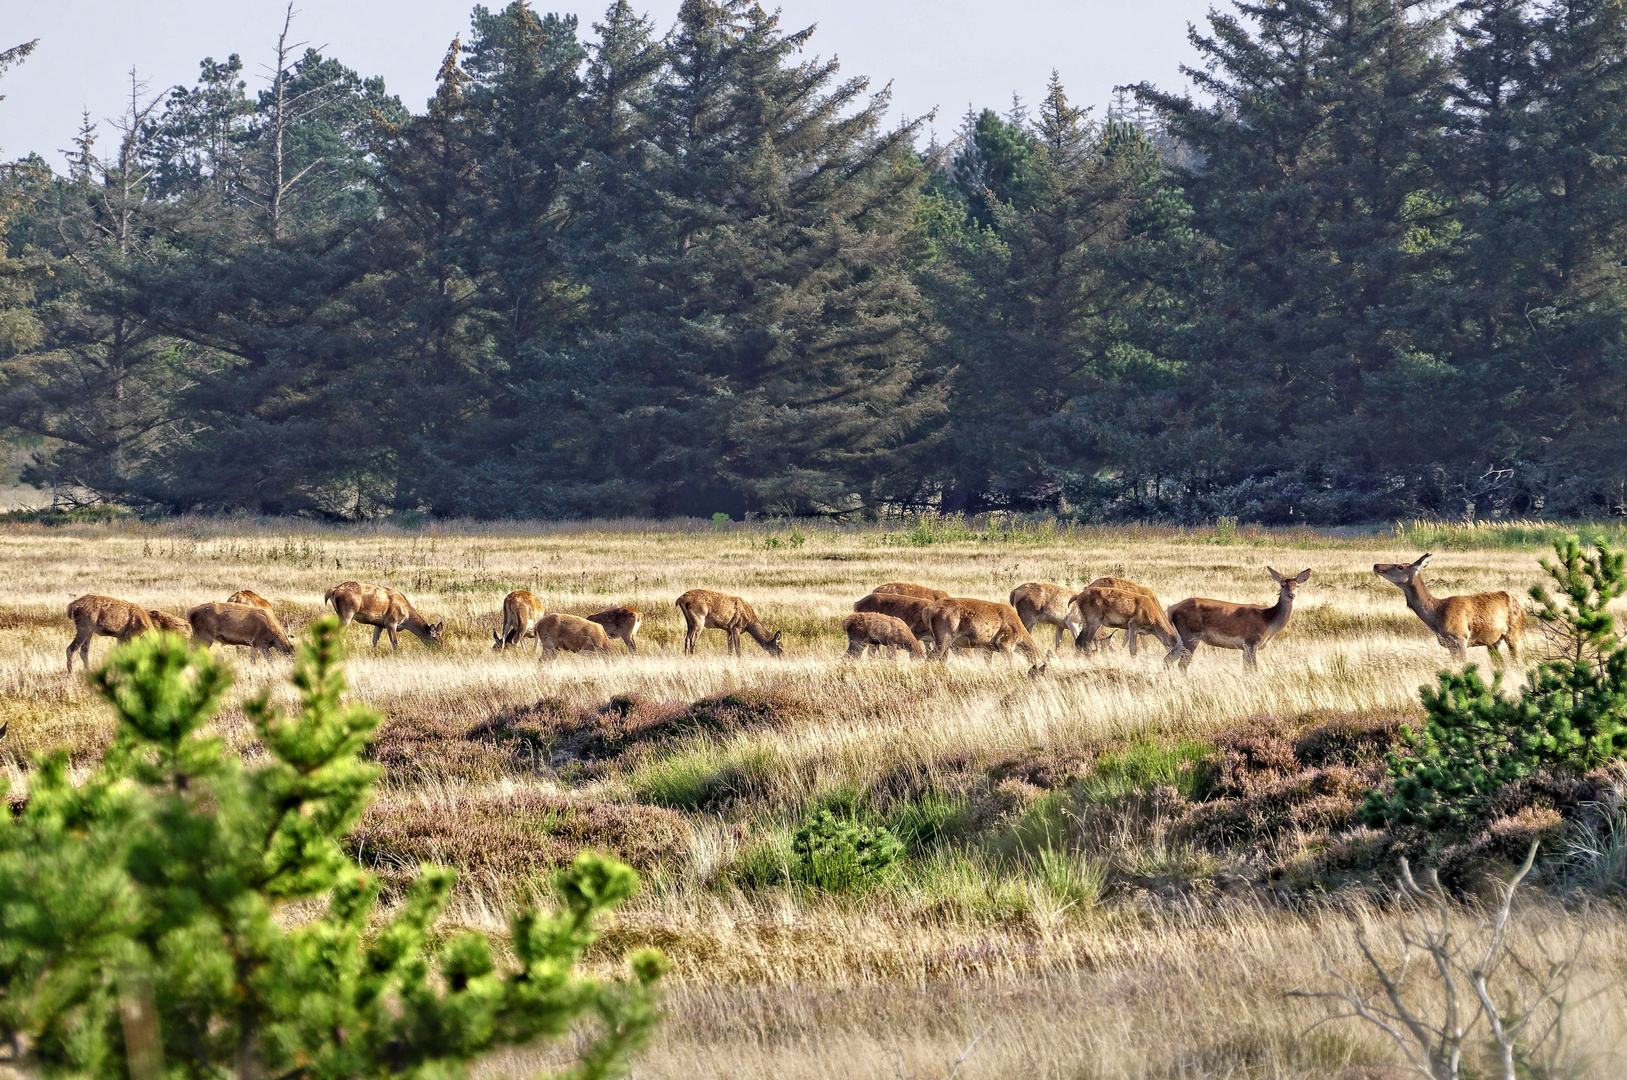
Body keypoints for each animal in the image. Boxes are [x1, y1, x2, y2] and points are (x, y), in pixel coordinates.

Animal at [1164, 569, 1314, 670]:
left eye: (1297, 585)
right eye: (1282, 585)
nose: (1291, 595)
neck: (1268, 623)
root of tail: (1171, 609)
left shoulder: (1246, 646)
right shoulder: (1251, 642)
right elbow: (1252, 669)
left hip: (1181, 637)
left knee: (1168, 659)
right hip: (1191, 635)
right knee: (1182, 664)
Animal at [1373, 553, 1522, 663]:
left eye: (1400, 567)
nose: (1376, 565)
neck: (1437, 616)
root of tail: (1520, 604)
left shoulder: (1460, 638)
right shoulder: (1449, 644)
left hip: (1513, 631)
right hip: (1493, 640)